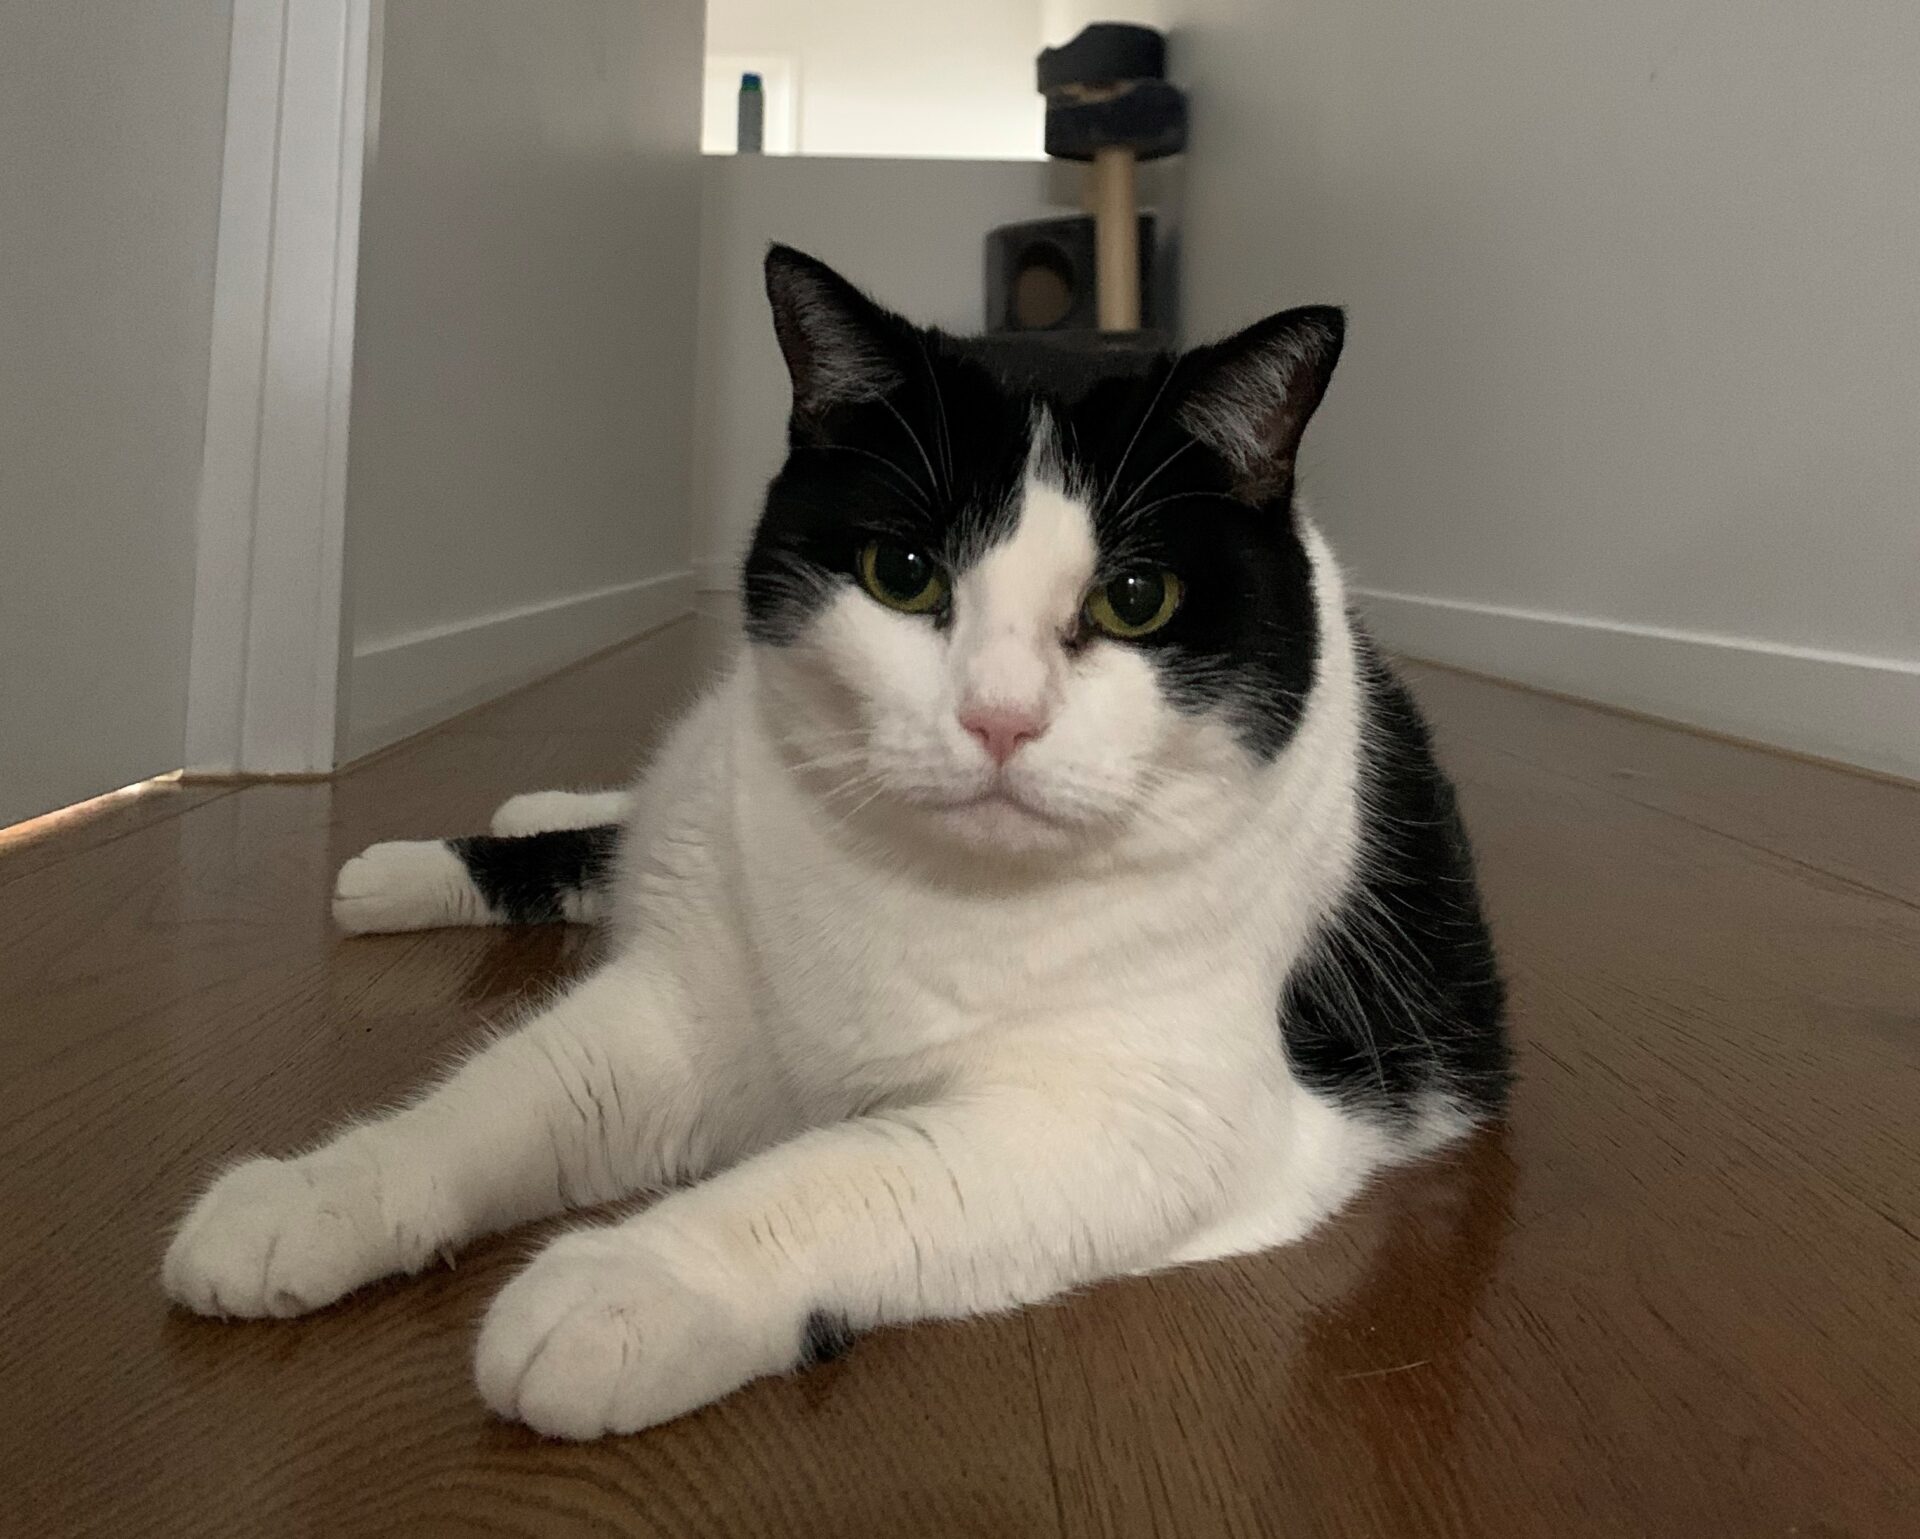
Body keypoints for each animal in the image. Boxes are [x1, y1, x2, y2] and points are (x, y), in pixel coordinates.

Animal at [165, 245, 1505, 1435]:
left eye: (1136, 601)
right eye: (903, 573)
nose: (999, 719)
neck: (936, 889)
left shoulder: (1144, 1116)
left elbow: (838, 1176)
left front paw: (626, 1288)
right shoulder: (689, 1002)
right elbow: (507, 1099)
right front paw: (311, 1195)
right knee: (607, 833)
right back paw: (436, 853)